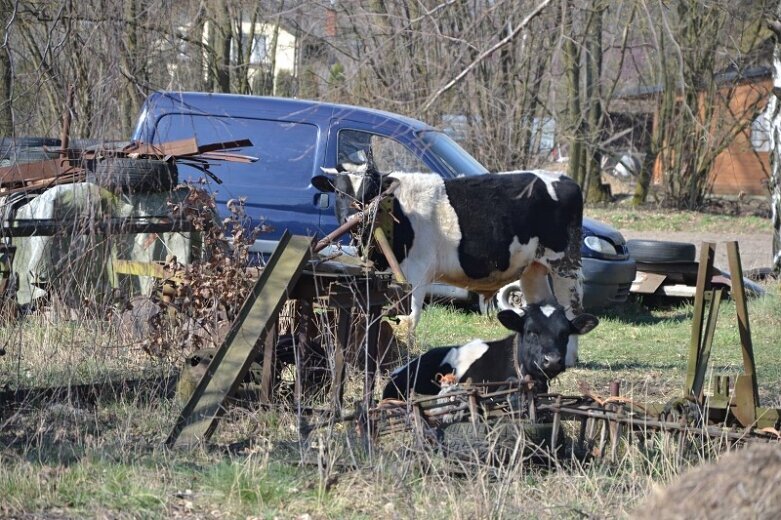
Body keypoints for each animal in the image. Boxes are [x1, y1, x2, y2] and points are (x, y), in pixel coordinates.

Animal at [310, 160, 584, 364]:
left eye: (369, 192)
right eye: (337, 191)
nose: (352, 218)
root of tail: (565, 178)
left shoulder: (416, 274)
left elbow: (409, 320)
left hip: (565, 265)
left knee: (571, 308)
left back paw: (569, 358)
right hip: (533, 268)